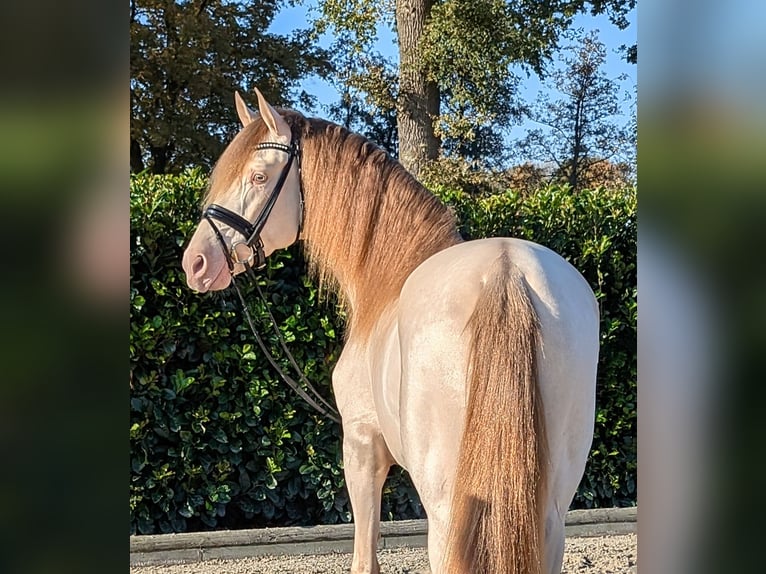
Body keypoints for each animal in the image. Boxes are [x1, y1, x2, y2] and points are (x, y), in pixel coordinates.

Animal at [182, 90, 600, 574]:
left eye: (258, 175)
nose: (196, 262)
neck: (385, 286)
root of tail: (506, 269)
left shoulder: (362, 447)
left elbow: (366, 558)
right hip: (548, 513)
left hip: (446, 510)